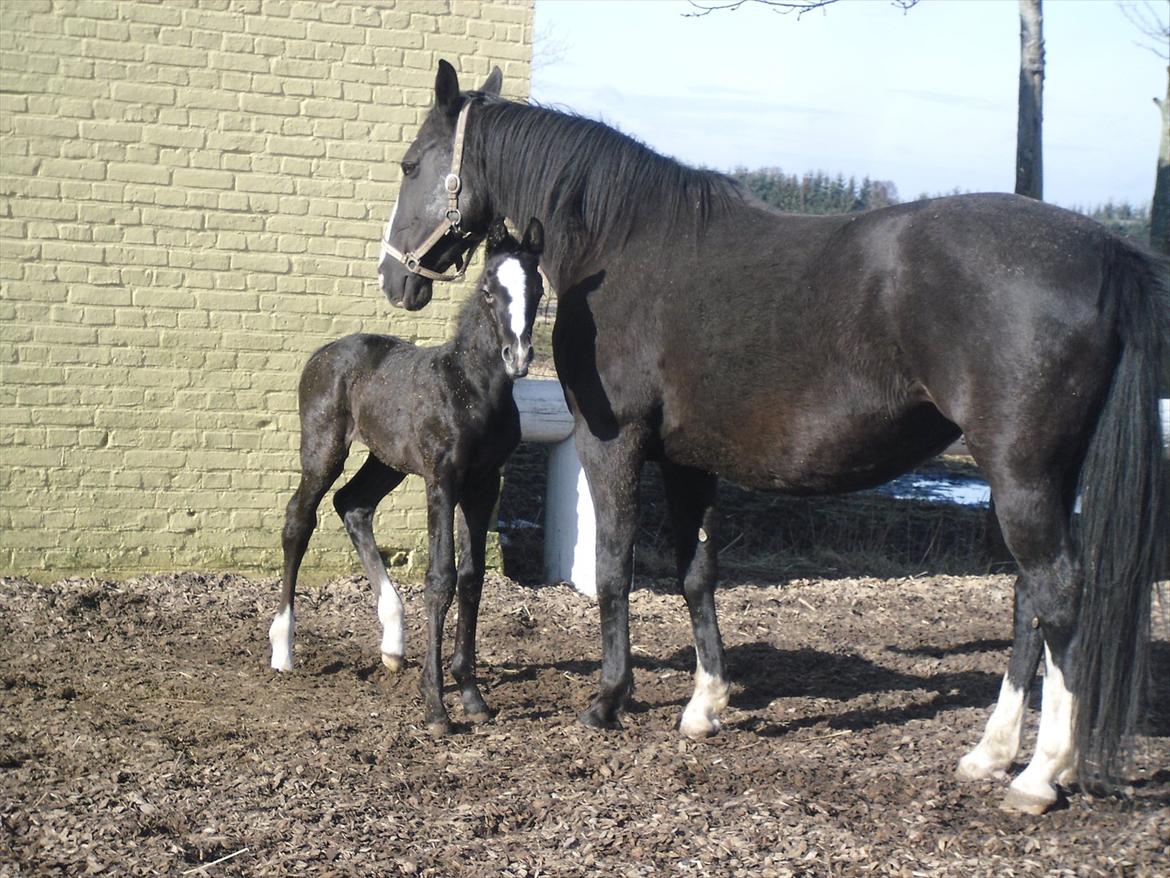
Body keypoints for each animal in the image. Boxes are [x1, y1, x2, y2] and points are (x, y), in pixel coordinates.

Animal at [271, 220, 545, 735]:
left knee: (353, 505)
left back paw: (393, 644)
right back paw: (282, 648)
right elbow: (440, 578)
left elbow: (472, 577)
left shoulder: (484, 485)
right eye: (489, 291)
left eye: (537, 289)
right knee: (300, 518)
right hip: (323, 448)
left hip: (387, 462)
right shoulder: (441, 481)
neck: (472, 389)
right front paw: (436, 705)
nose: (517, 356)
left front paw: (472, 695)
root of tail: (323, 353)